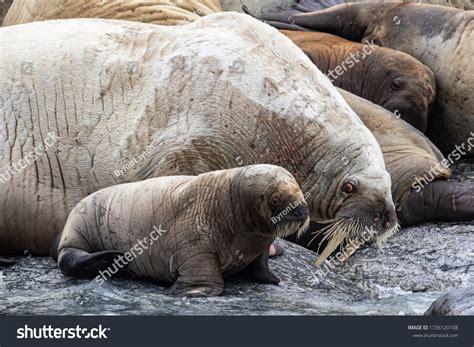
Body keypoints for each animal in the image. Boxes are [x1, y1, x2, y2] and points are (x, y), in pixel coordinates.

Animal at [57, 165, 312, 296]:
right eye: (276, 200)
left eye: (300, 190)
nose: (302, 210)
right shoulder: (195, 244)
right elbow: (203, 273)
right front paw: (194, 291)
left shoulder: (260, 246)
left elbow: (261, 267)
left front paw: (274, 279)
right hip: (75, 230)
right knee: (69, 258)